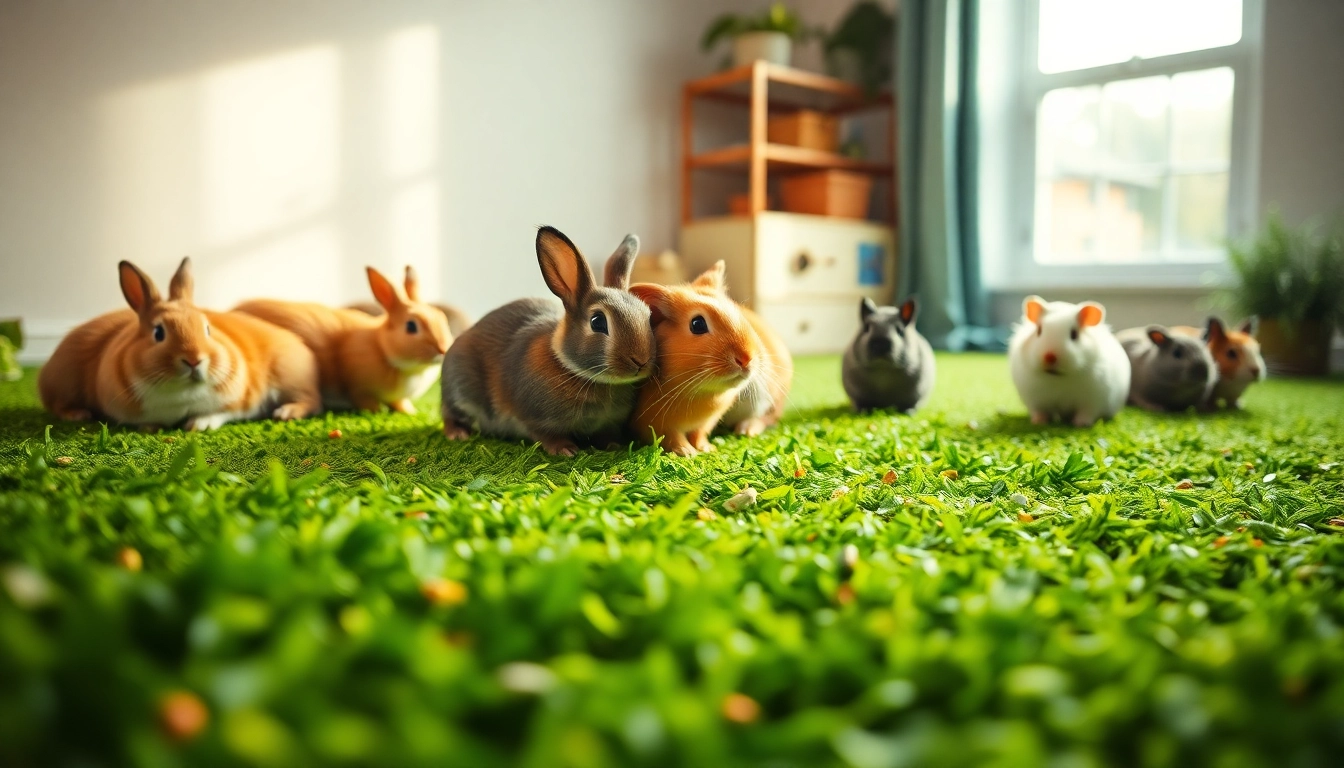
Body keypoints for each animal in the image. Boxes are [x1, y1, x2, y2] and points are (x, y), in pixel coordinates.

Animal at [39, 258, 321, 431]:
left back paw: (286, 412)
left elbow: (221, 413)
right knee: (56, 405)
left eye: (207, 328)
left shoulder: (243, 402)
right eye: (158, 333)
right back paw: (77, 414)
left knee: (311, 400)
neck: (182, 393)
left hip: (289, 379)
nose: (194, 359)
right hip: (63, 384)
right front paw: (150, 427)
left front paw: (199, 425)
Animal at [236, 266, 452, 414]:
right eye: (411, 326)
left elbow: (399, 403)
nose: (442, 349)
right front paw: (376, 410)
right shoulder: (357, 387)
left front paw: (409, 412)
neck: (382, 348)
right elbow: (362, 399)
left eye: (442, 317)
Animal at [440, 226, 654, 456]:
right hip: (458, 387)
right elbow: (547, 435)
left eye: (648, 315)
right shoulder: (535, 419)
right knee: (449, 415)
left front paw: (615, 446)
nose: (641, 361)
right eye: (597, 322)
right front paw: (566, 450)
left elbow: (606, 435)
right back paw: (458, 434)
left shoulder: (608, 424)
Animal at [628, 261, 787, 456]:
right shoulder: (656, 425)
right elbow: (672, 438)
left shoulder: (706, 422)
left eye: (739, 313)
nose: (746, 358)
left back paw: (747, 430)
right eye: (697, 324)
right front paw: (687, 452)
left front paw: (706, 448)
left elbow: (699, 433)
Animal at [1009, 296, 1130, 427]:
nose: (1049, 357)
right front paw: (1038, 422)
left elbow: (1086, 413)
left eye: (1074, 334)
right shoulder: (1035, 401)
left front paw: (1080, 424)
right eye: (1039, 331)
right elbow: (1040, 412)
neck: (1058, 378)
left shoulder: (1093, 400)